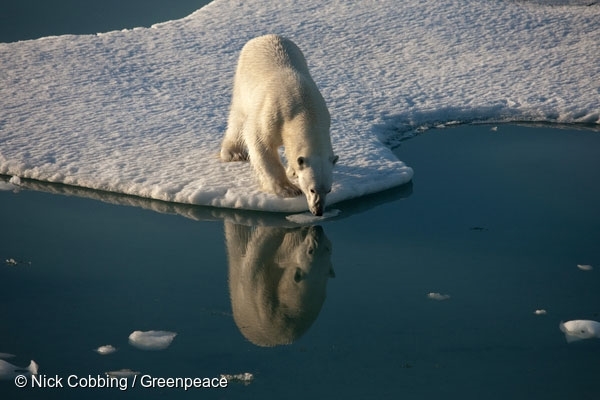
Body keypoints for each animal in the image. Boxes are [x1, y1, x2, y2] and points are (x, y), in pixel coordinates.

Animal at [219, 34, 338, 216]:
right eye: (311, 189)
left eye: (328, 190)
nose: (318, 211)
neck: (304, 108)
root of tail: (264, 36)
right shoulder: (273, 113)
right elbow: (259, 142)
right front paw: (289, 189)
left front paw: (293, 171)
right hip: (243, 81)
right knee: (238, 118)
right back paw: (234, 153)